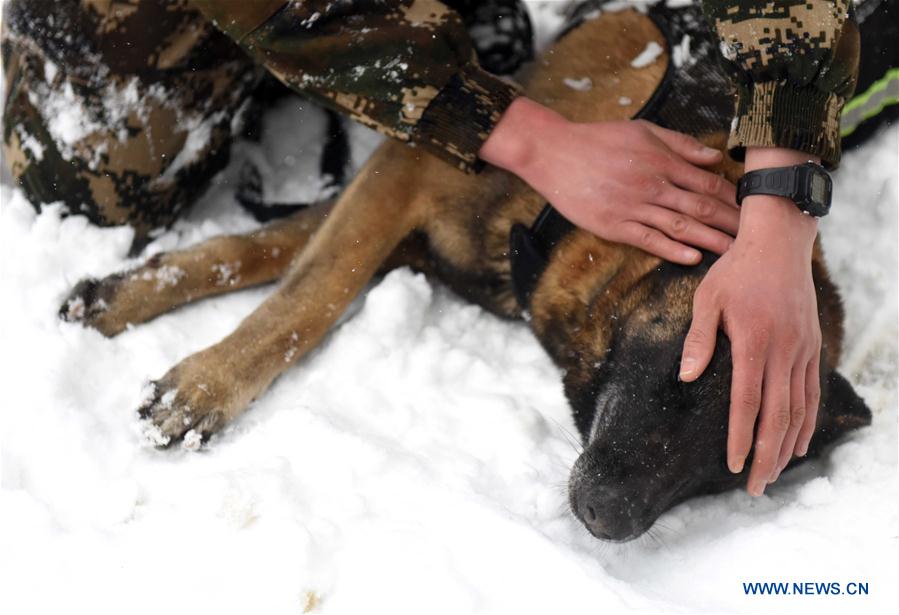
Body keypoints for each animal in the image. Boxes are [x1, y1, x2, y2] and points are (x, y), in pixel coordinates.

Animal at [58, 7, 872, 540]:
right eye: (684, 375)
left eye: (726, 472)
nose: (608, 520)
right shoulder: (411, 168)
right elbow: (312, 288)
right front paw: (201, 385)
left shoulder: (409, 227)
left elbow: (276, 251)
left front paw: (130, 295)